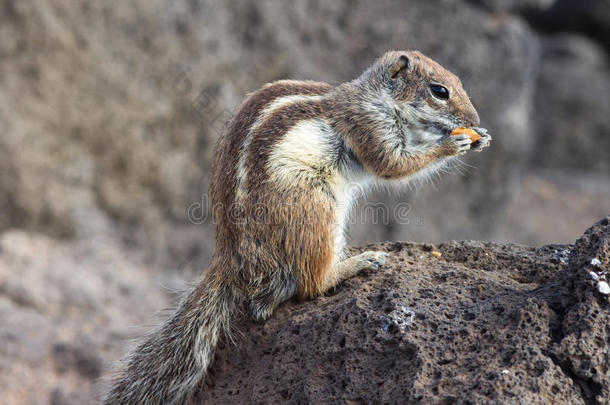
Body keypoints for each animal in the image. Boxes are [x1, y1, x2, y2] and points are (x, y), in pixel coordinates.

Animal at [103, 50, 490, 404]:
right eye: (439, 91)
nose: (474, 119)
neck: (376, 97)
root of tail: (231, 258)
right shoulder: (368, 127)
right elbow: (394, 164)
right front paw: (453, 143)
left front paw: (480, 137)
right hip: (316, 209)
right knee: (311, 284)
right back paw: (358, 262)